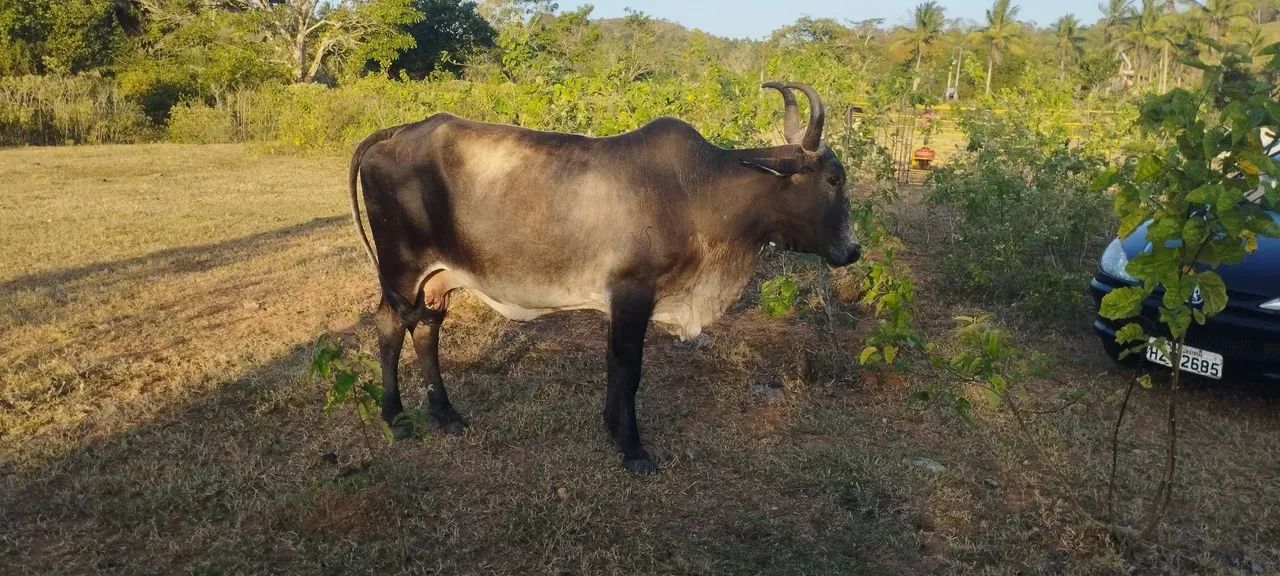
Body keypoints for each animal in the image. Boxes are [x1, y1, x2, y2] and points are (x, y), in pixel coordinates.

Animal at [348, 82, 860, 474]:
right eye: (834, 179)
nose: (853, 250)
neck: (697, 191)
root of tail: (397, 132)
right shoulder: (633, 292)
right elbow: (628, 367)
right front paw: (633, 448)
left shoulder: (621, 301)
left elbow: (615, 366)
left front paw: (613, 428)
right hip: (401, 269)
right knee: (390, 327)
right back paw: (396, 417)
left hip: (436, 279)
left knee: (426, 330)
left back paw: (445, 413)